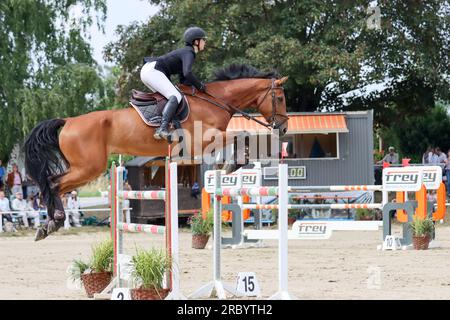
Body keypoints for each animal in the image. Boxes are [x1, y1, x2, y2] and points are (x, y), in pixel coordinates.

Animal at [24, 64, 290, 240]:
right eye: (280, 97)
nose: (284, 127)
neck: (216, 101)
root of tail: (68, 121)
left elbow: (241, 135)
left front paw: (233, 163)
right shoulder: (202, 141)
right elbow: (243, 132)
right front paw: (233, 164)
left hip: (84, 169)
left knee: (53, 184)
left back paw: (48, 225)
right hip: (88, 168)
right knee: (53, 183)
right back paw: (54, 222)